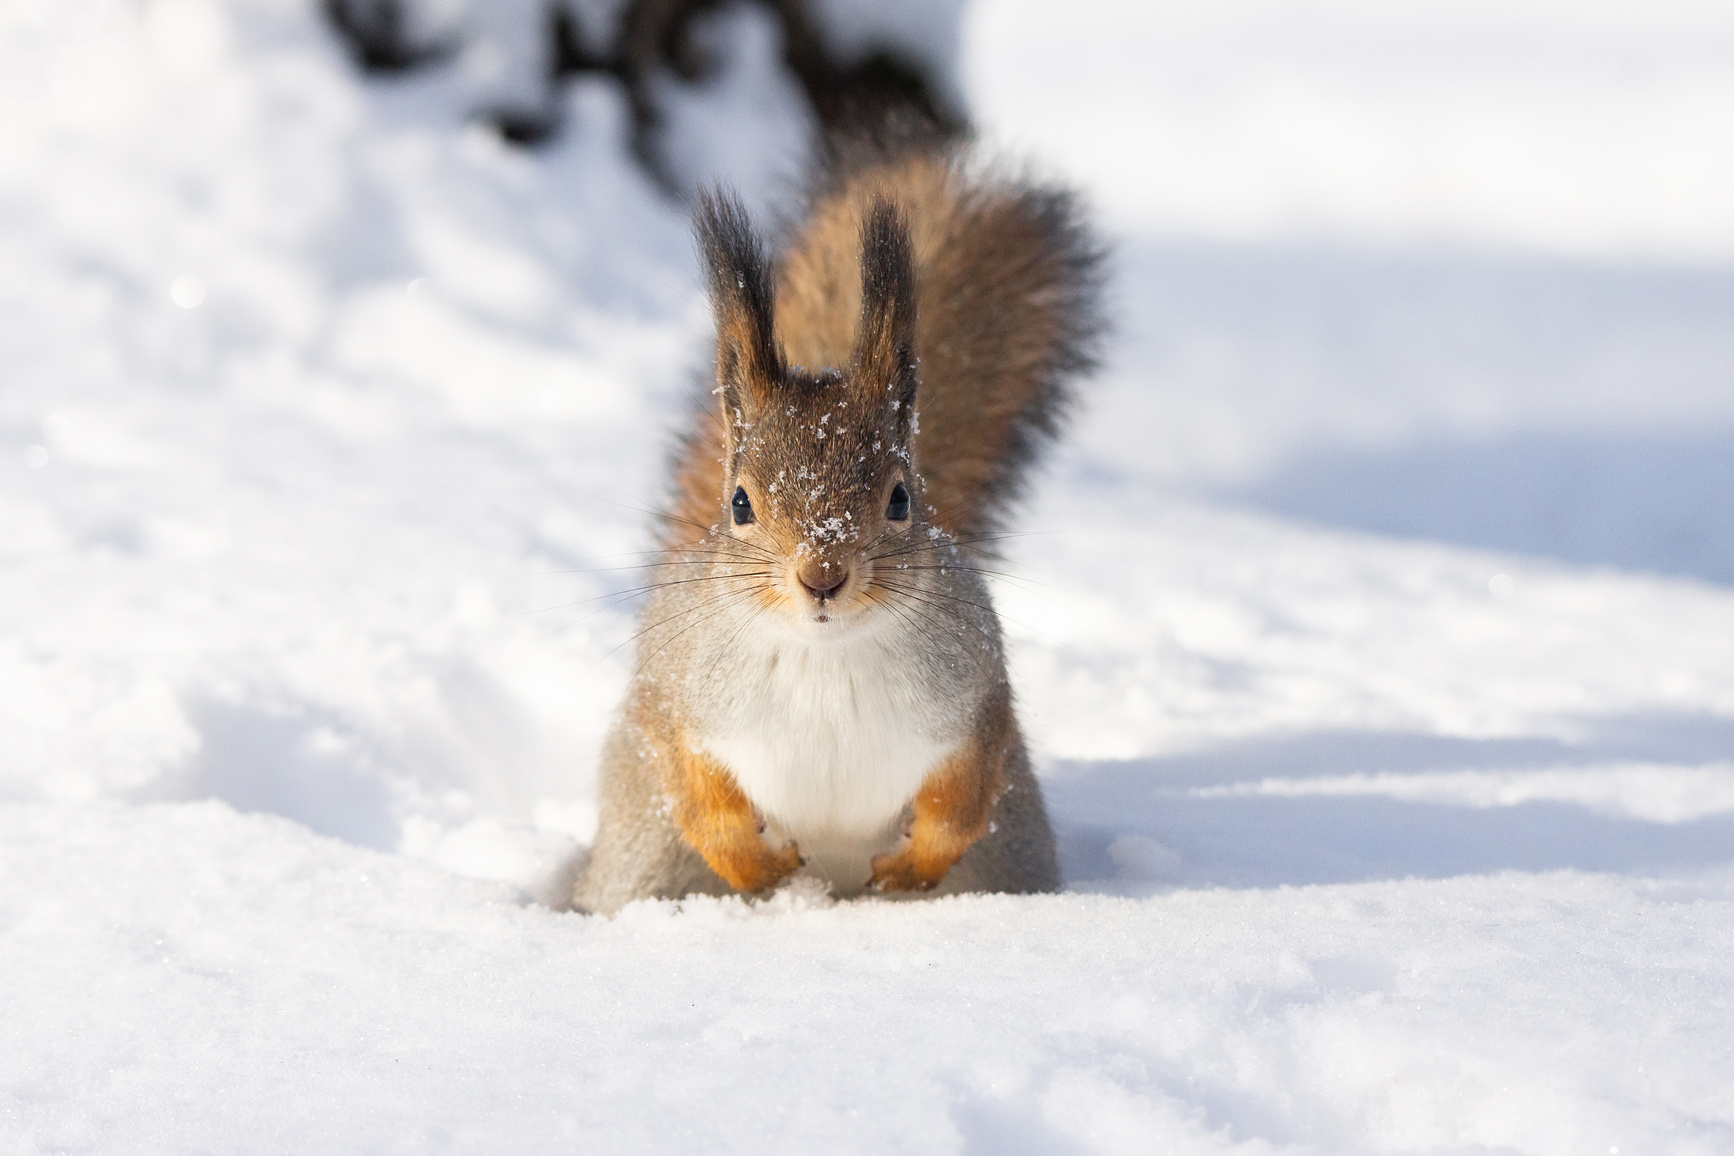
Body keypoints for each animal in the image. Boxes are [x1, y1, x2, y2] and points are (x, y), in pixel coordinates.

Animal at [575, 136, 1102, 915]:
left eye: (901, 500)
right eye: (740, 503)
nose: (822, 575)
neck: (822, 657)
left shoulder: (977, 688)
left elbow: (966, 791)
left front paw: (911, 865)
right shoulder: (672, 692)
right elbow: (695, 787)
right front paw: (760, 867)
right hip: (643, 850)